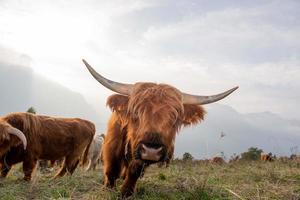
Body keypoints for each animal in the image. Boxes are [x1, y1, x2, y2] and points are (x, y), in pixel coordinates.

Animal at [83, 59, 238, 197]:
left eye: (175, 118)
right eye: (135, 113)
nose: (152, 150)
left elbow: (134, 170)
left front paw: (127, 192)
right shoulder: (112, 145)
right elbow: (111, 169)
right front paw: (107, 189)